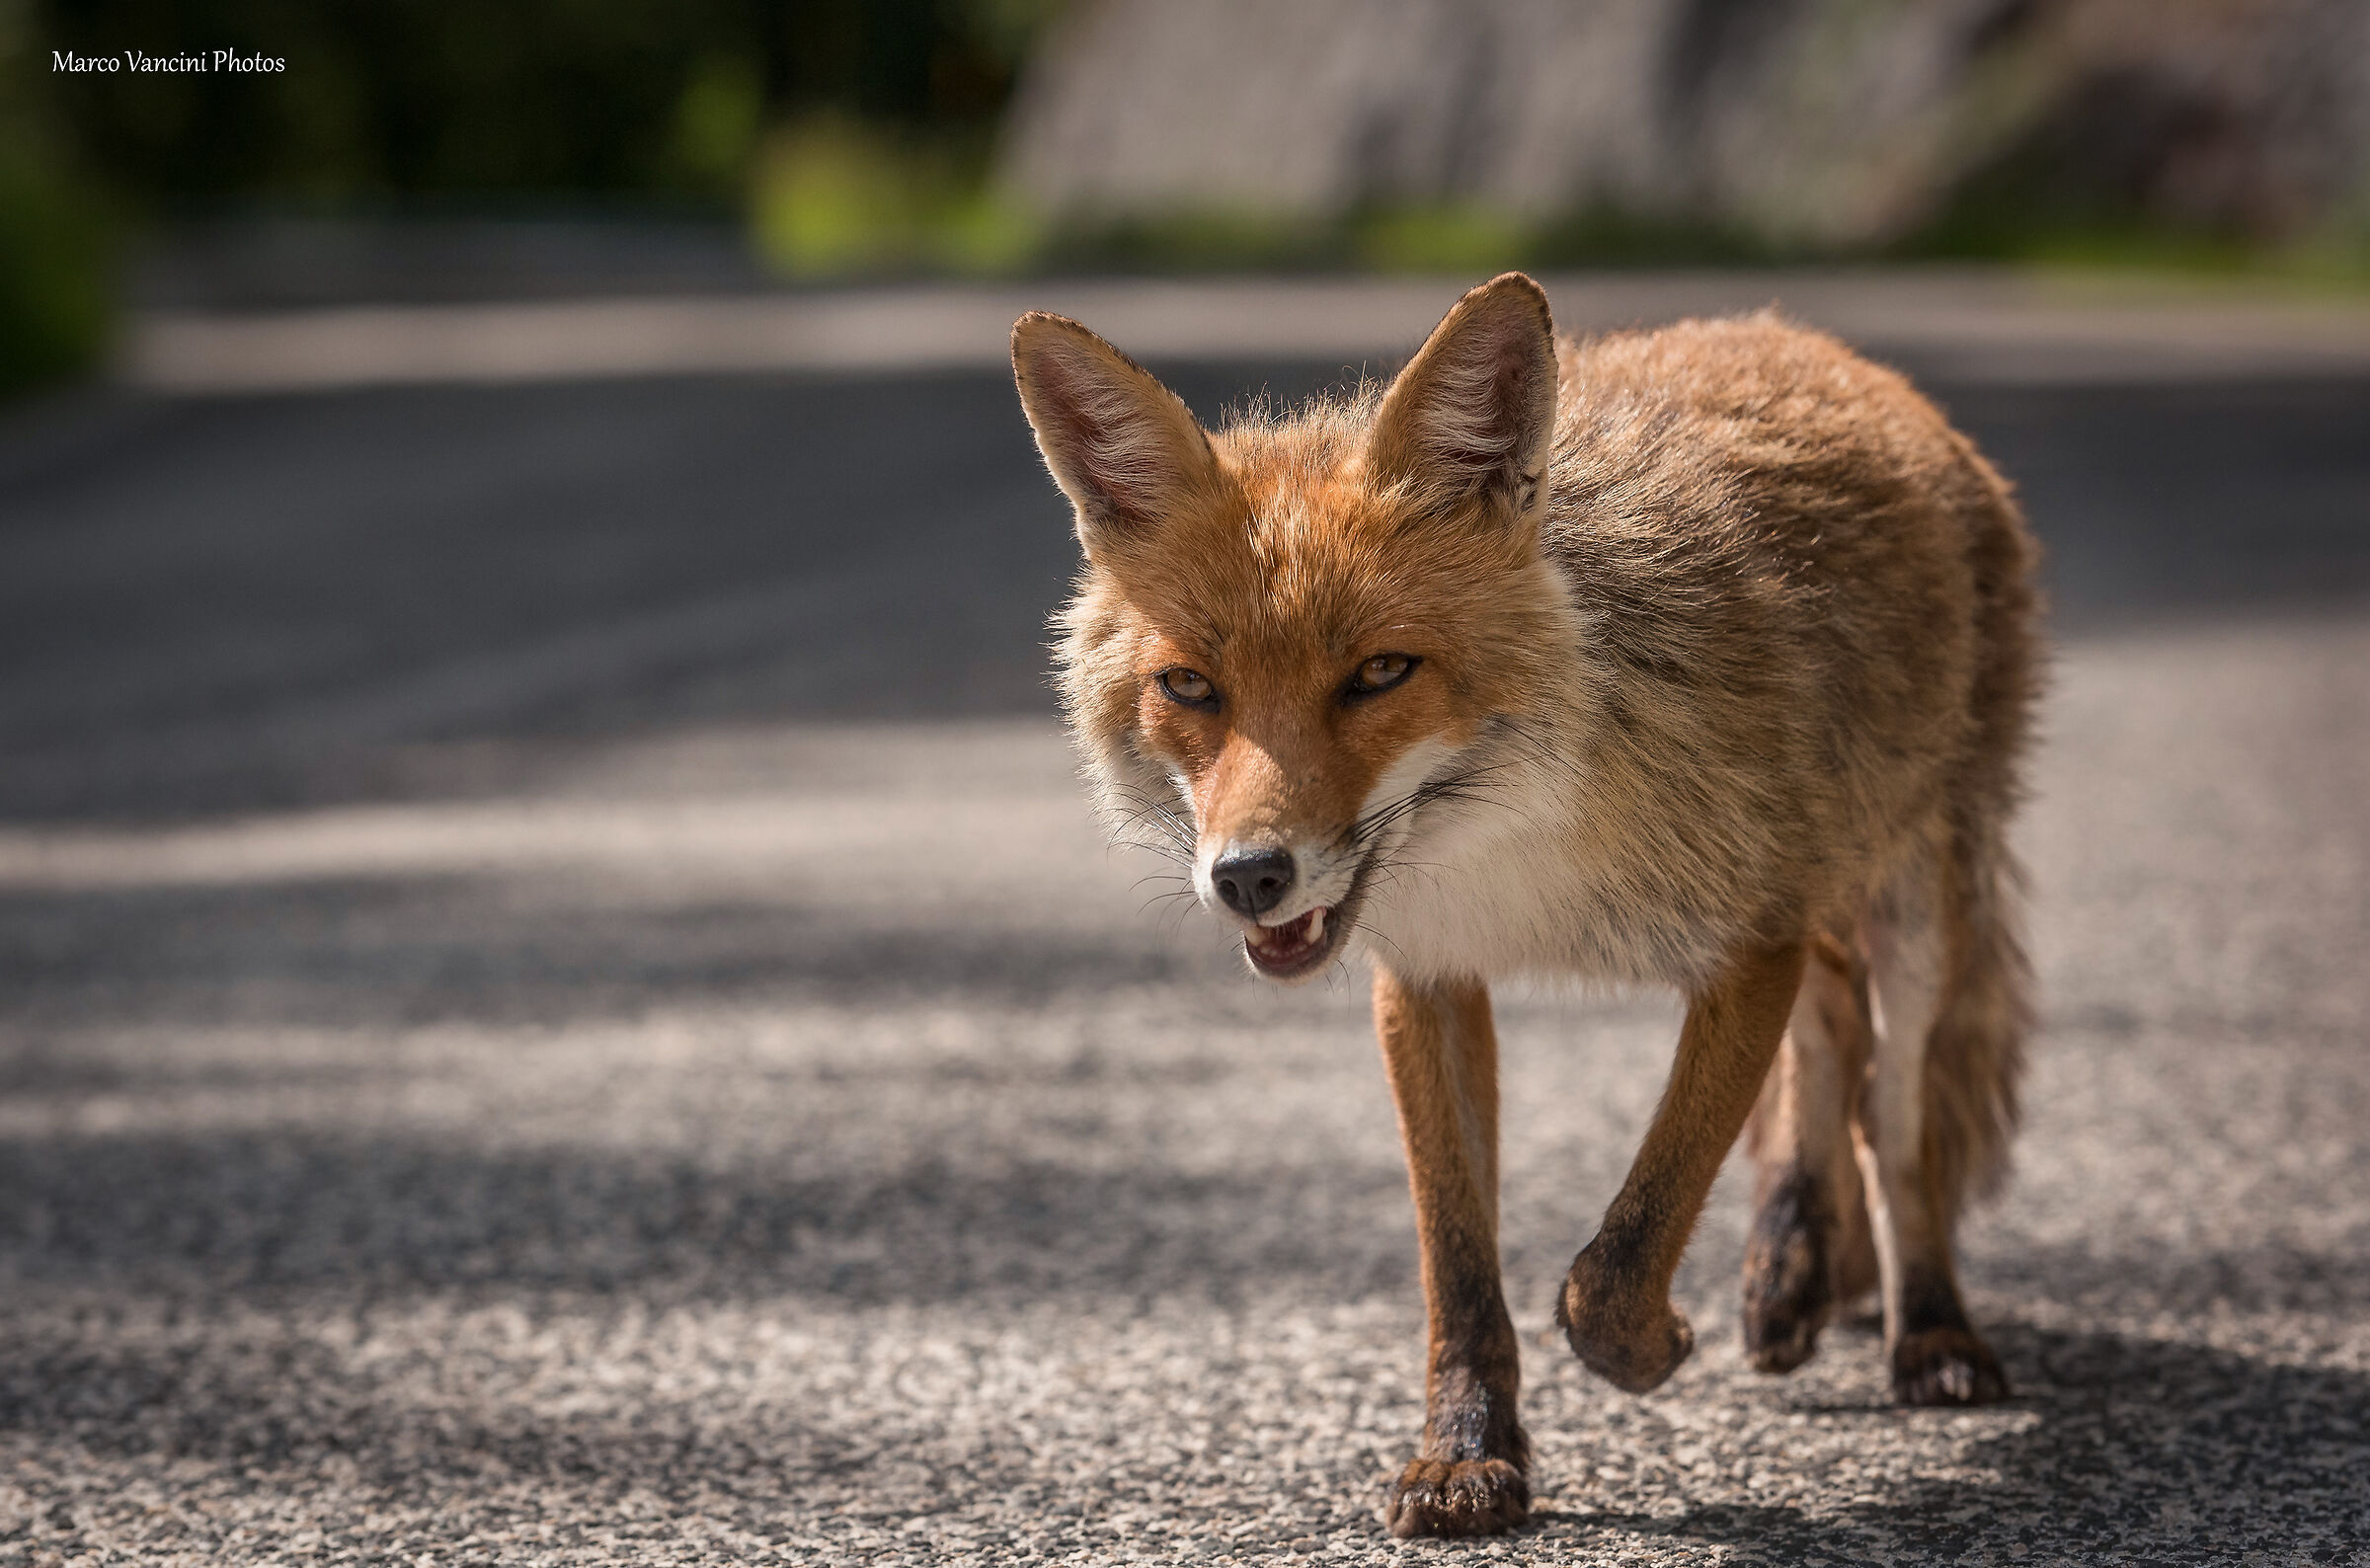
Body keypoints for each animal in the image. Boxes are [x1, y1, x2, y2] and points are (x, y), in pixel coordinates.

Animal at [1009, 272, 2041, 1539]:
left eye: (1380, 673)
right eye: (1191, 687)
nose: (1249, 875)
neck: (1525, 841)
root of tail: (1810, 337)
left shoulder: (1749, 943)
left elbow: (1622, 1253)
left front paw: (1652, 1347)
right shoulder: (1429, 974)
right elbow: (1459, 1266)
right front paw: (1466, 1453)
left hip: (1914, 907)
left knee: (1895, 1118)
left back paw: (1929, 1328)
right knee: (1834, 1031)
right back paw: (1793, 1270)